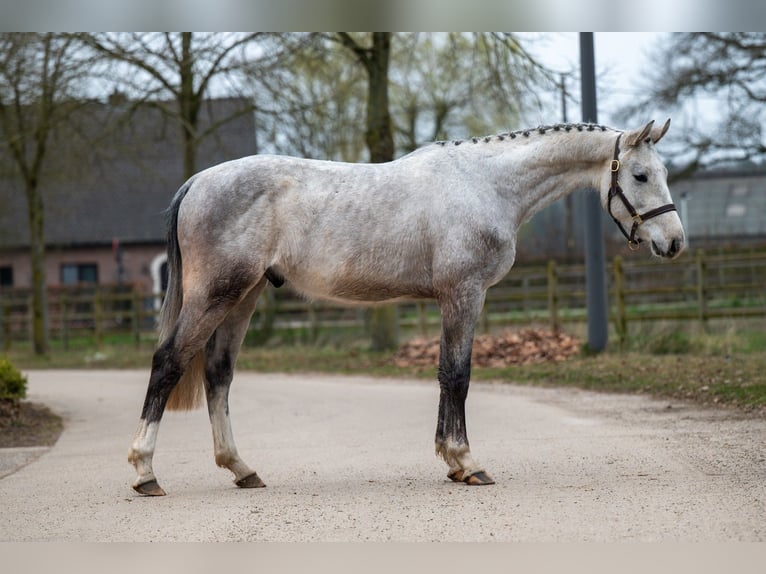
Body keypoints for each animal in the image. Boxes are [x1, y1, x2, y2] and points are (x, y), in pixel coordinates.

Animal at [129, 120, 688, 496]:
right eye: (640, 176)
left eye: (662, 172)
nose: (675, 243)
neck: (485, 184)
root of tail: (197, 182)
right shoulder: (464, 293)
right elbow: (458, 376)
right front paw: (467, 462)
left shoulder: (452, 299)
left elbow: (445, 375)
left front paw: (451, 462)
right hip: (216, 295)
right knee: (169, 362)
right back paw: (145, 471)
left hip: (244, 298)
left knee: (218, 374)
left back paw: (242, 469)